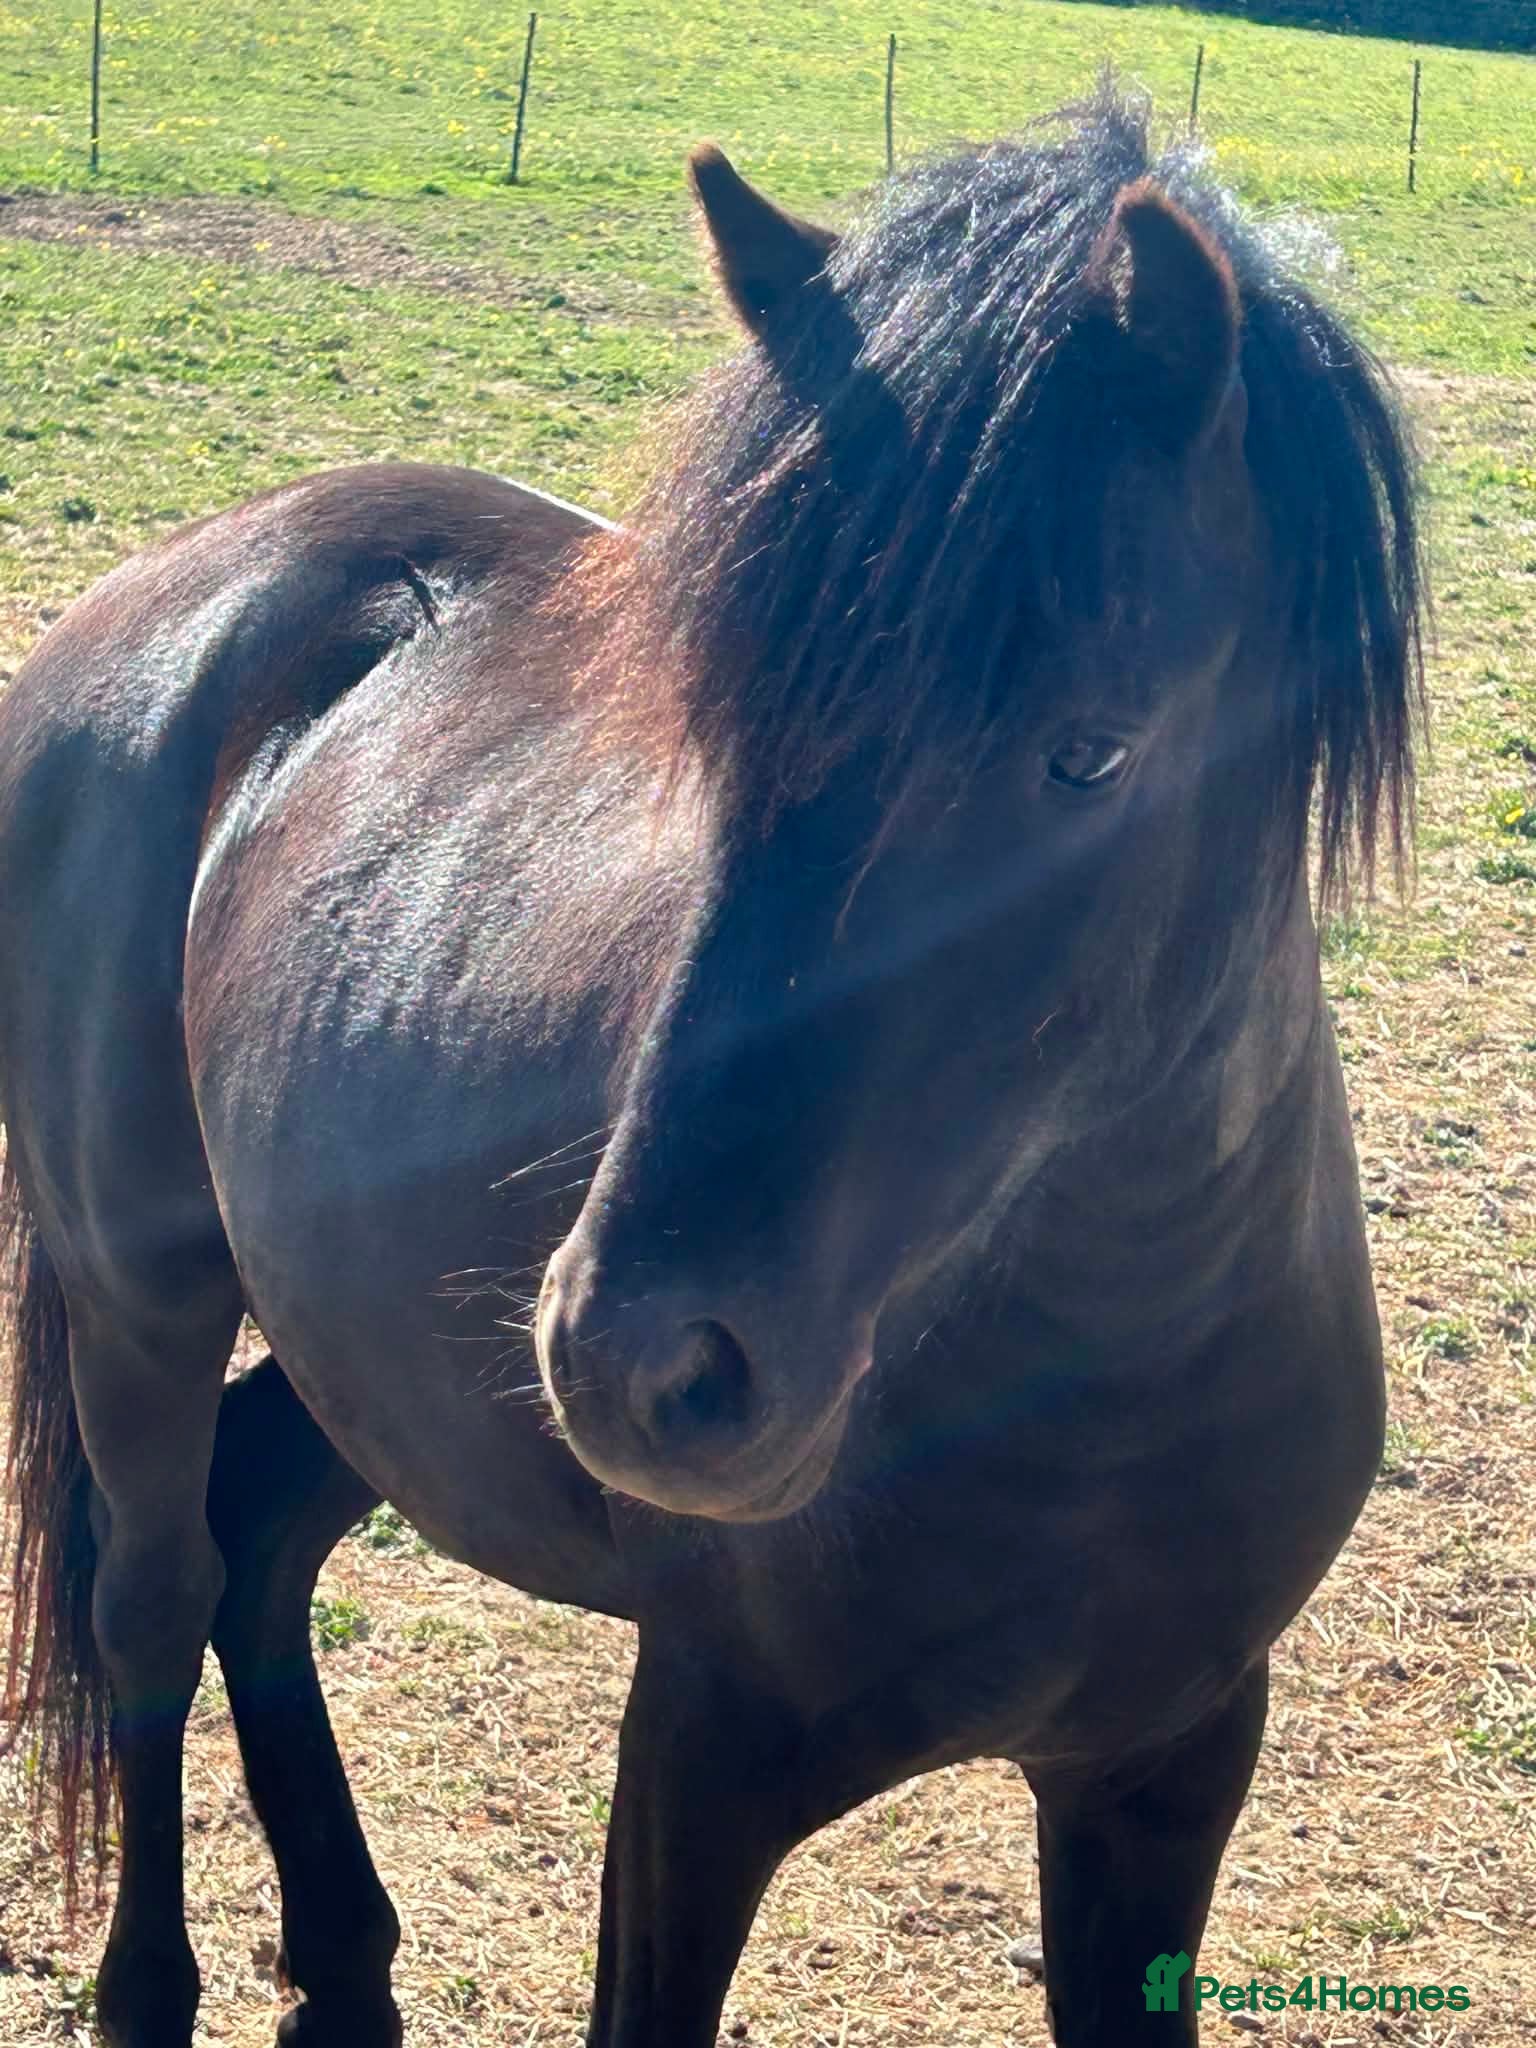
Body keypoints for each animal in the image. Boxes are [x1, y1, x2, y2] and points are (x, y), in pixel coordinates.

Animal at [0, 86, 1421, 2048]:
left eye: (1090, 753)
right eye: (714, 721)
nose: (639, 1364)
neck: (1090, 1372)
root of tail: (168, 592)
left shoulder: (1168, 1764)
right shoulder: (701, 1759)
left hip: (374, 1355)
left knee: (262, 1530)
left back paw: (347, 1967)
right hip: (138, 1290)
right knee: (156, 1590)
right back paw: (153, 1986)